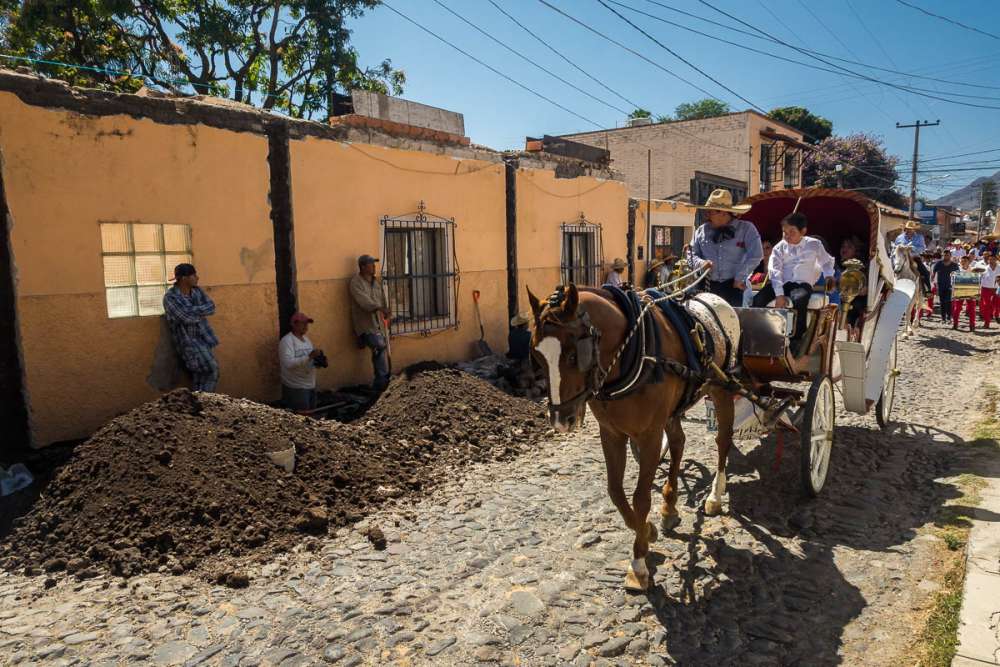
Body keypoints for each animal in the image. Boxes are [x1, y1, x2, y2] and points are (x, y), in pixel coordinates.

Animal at [524, 284, 736, 588]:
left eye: (574, 355)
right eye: (537, 356)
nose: (561, 421)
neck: (631, 357)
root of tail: (713, 297)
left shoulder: (649, 436)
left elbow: (640, 498)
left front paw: (638, 563)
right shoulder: (611, 433)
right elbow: (615, 491)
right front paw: (646, 530)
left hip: (721, 388)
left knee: (723, 440)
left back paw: (715, 496)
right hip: (673, 410)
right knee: (678, 442)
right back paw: (669, 508)